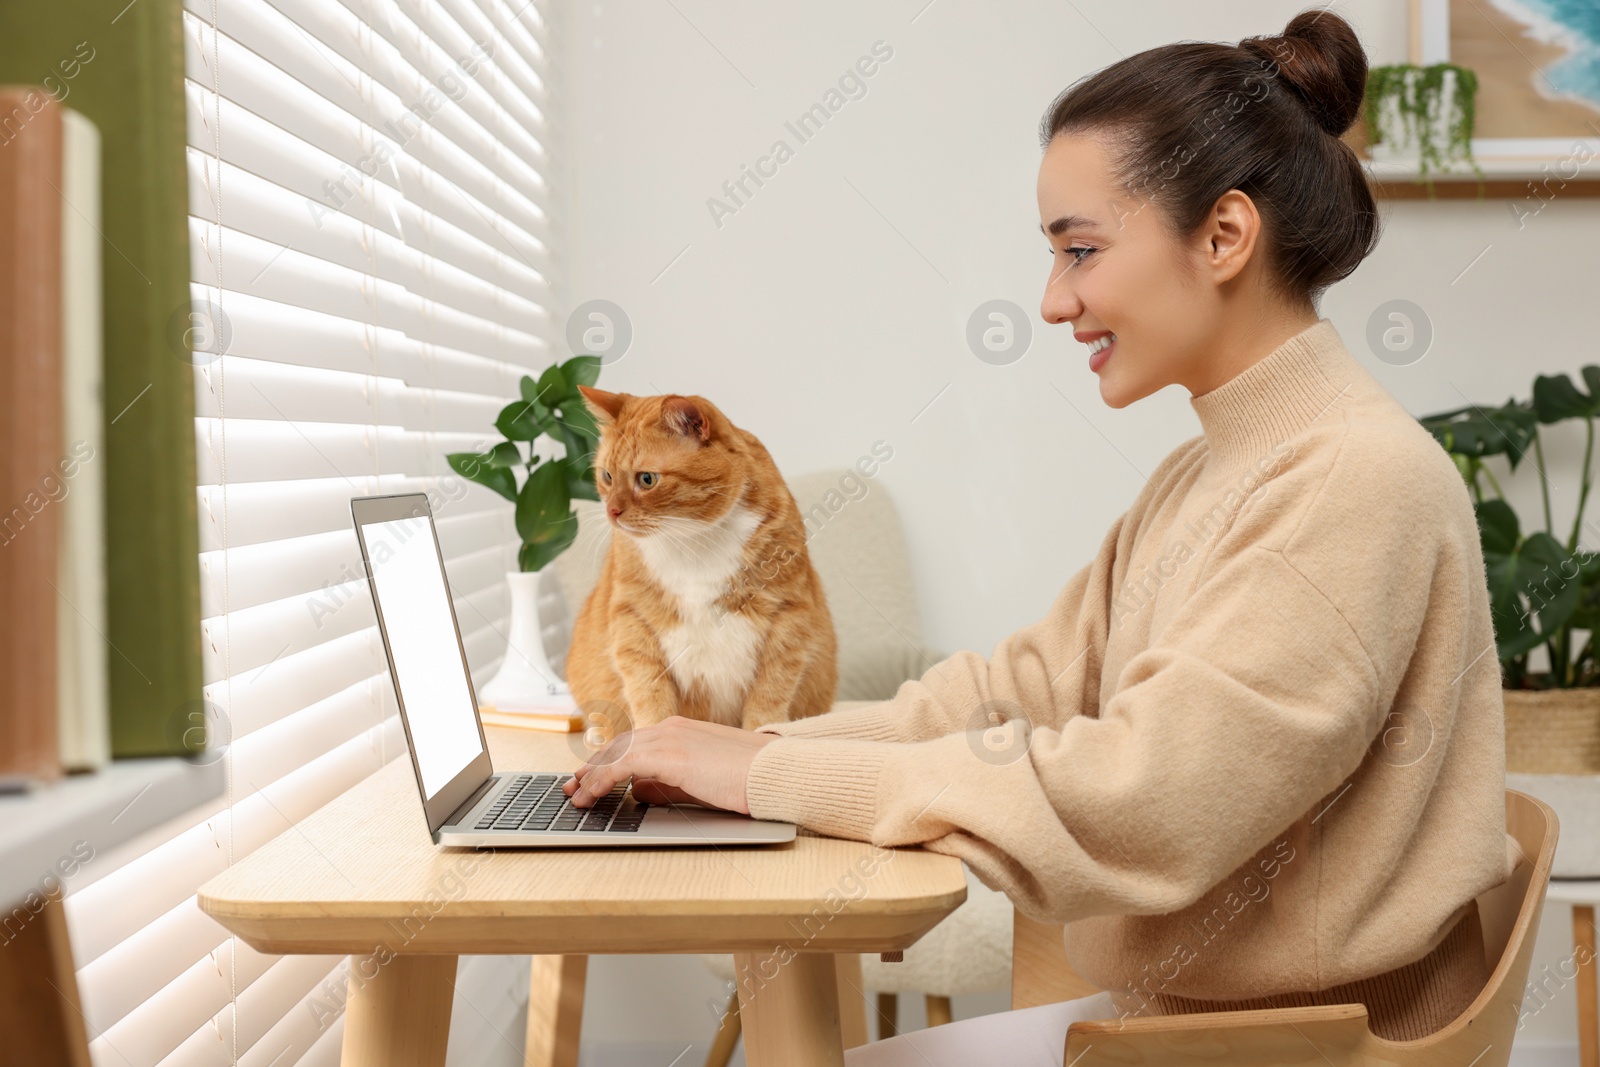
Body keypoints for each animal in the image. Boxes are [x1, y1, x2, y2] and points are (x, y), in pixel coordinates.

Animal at [563, 388, 838, 739]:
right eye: (607, 476)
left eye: (647, 479)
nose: (612, 511)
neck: (691, 539)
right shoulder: (632, 619)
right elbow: (649, 694)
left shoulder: (788, 616)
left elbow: (770, 695)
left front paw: (759, 735)